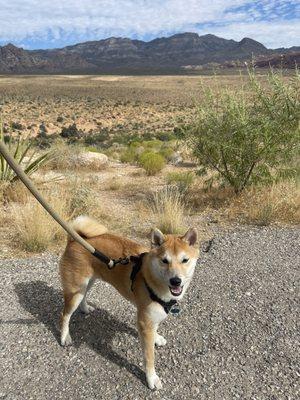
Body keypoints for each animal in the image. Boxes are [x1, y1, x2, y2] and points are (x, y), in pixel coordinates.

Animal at [59, 217, 198, 390]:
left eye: (185, 260)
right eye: (164, 261)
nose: (176, 281)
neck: (150, 278)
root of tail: (73, 240)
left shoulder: (152, 317)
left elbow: (155, 330)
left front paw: (157, 338)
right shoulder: (145, 321)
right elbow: (149, 357)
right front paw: (151, 378)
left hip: (86, 285)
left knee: (83, 297)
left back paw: (85, 308)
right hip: (75, 291)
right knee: (65, 315)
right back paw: (64, 337)